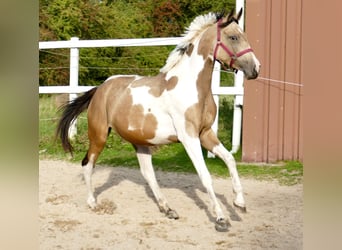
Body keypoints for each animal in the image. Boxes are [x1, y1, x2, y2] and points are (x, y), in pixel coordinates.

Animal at [56, 8, 260, 231]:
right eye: (233, 37)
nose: (256, 69)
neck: (191, 87)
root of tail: (100, 89)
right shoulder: (189, 138)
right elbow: (205, 175)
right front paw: (221, 219)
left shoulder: (205, 133)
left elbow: (230, 160)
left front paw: (239, 204)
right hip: (99, 136)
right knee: (87, 164)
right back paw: (93, 202)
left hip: (140, 142)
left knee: (148, 174)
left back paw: (167, 209)